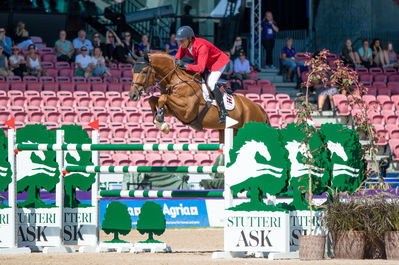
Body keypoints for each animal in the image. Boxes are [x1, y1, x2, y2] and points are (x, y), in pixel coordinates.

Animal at [130, 52, 270, 142]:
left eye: (143, 71)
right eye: (132, 71)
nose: (132, 95)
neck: (176, 80)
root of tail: (260, 109)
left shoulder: (187, 111)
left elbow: (162, 98)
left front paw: (161, 122)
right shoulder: (174, 111)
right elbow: (153, 100)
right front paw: (158, 118)